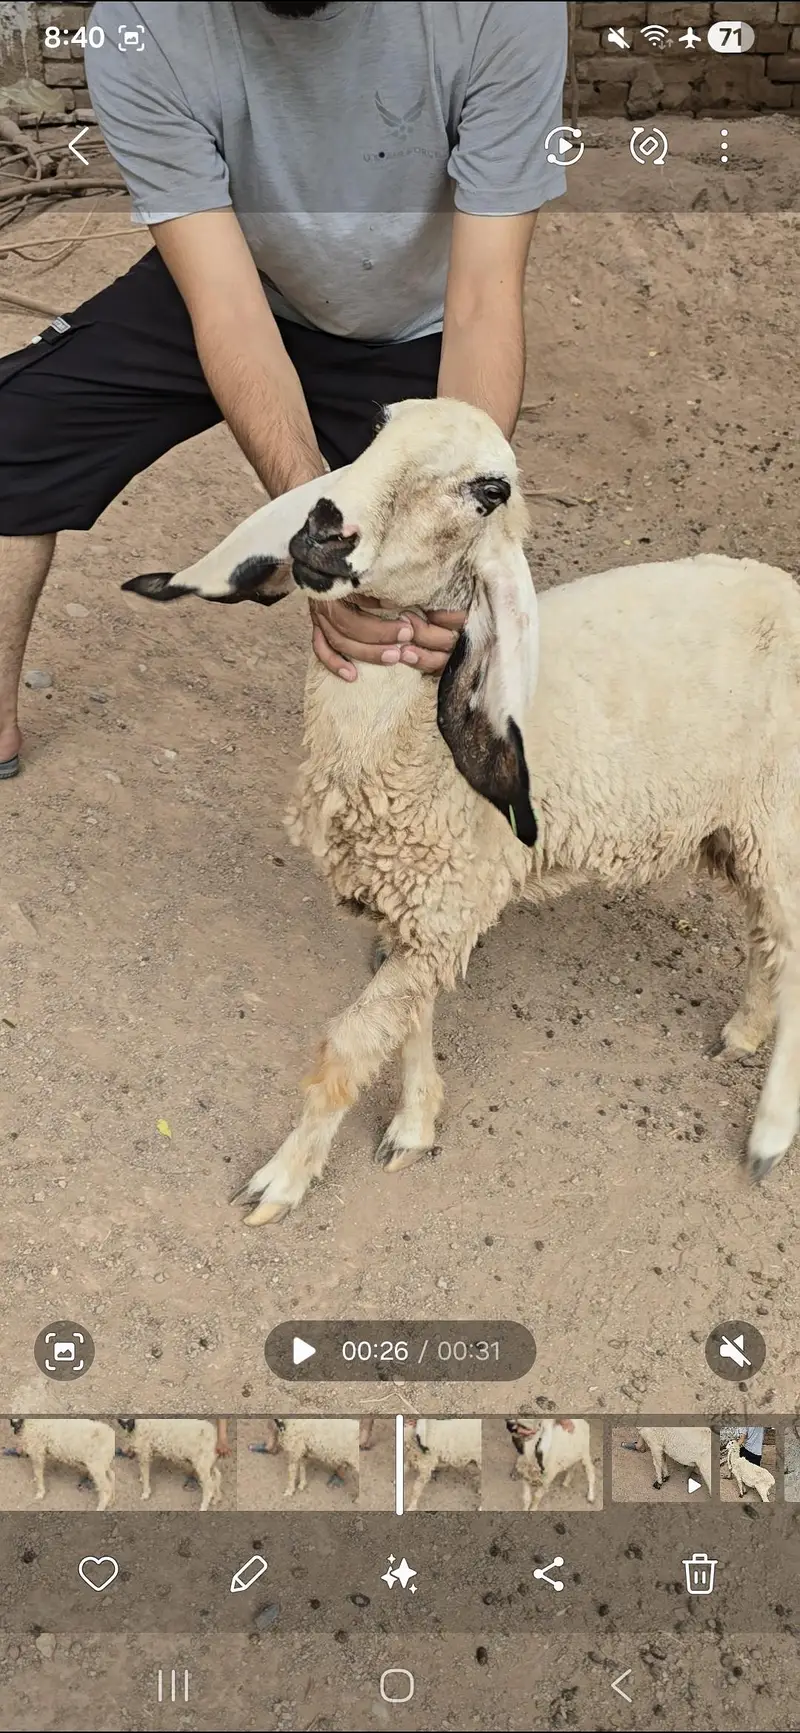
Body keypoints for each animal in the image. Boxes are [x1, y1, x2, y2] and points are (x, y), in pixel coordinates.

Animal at [123, 396, 800, 1224]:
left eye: (489, 491)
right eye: (376, 428)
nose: (323, 527)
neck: (401, 744)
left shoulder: (447, 901)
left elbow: (349, 1044)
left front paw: (283, 1177)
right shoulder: (416, 910)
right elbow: (411, 1019)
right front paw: (414, 1124)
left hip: (780, 818)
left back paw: (770, 1132)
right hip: (740, 828)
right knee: (770, 938)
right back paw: (745, 1030)